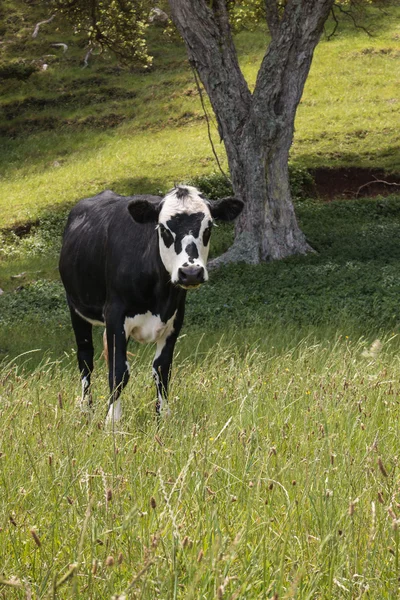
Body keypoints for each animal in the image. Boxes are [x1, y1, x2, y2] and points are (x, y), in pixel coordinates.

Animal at [57, 185, 242, 424]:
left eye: (208, 228)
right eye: (163, 229)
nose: (191, 272)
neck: (158, 296)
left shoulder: (175, 317)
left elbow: (162, 369)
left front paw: (163, 415)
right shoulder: (115, 315)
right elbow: (118, 371)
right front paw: (112, 420)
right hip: (76, 308)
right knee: (86, 359)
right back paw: (85, 409)